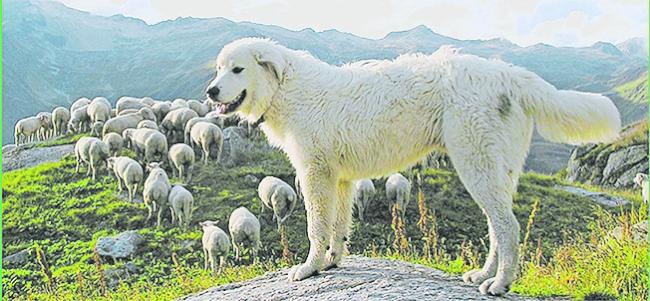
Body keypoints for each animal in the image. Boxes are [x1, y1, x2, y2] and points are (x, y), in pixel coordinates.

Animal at [205, 38, 620, 296]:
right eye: (219, 68)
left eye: (237, 70)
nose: (210, 91)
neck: (288, 89)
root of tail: (509, 74)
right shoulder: (340, 180)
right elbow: (338, 227)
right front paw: (332, 262)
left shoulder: (314, 174)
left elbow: (315, 228)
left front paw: (308, 268)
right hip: (492, 172)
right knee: (497, 227)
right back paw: (483, 275)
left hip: (476, 164)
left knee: (509, 227)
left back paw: (500, 284)